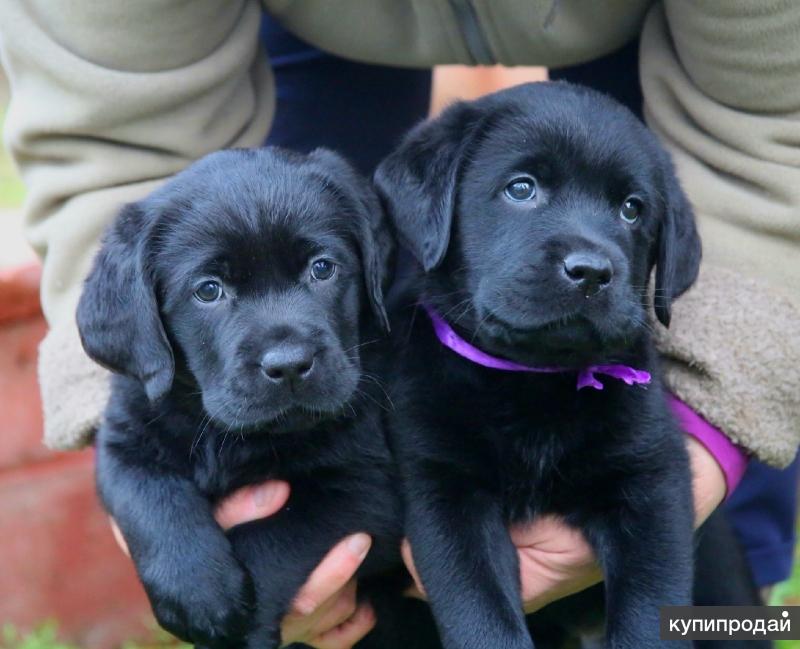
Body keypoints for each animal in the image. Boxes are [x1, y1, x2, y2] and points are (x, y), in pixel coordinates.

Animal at [78, 147, 404, 648]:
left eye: (322, 268)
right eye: (208, 290)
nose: (289, 364)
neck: (224, 434)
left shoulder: (366, 486)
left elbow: (272, 538)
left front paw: (231, 623)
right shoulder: (124, 440)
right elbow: (149, 499)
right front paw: (196, 590)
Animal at [376, 81, 700, 648]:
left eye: (632, 209)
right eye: (521, 188)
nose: (591, 272)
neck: (532, 384)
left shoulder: (654, 478)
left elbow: (649, 612)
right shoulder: (441, 486)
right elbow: (480, 612)